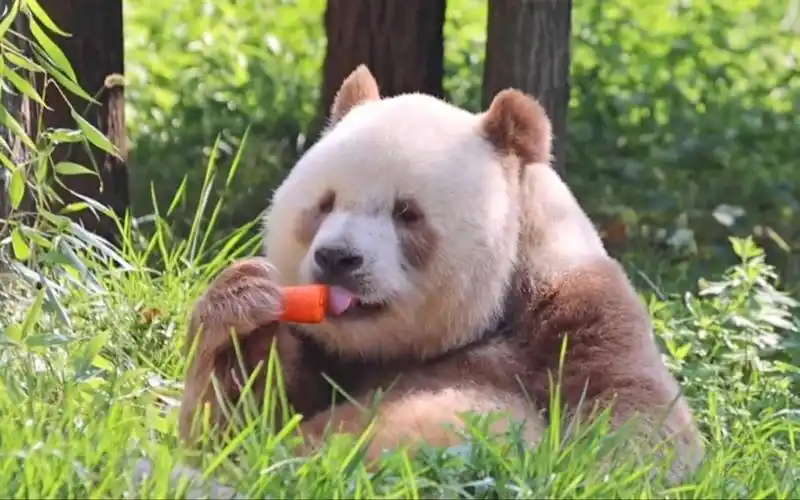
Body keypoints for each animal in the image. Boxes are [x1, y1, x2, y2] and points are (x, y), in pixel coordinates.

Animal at [179, 65, 704, 481]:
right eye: (325, 203)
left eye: (406, 213)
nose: (337, 258)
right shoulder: (322, 352)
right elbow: (233, 428)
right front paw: (247, 307)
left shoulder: (577, 311)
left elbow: (637, 424)